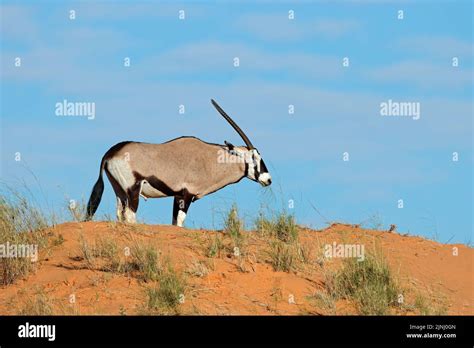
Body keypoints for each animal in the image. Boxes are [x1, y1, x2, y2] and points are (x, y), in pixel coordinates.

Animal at [84, 99, 270, 227]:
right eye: (253, 158)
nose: (268, 179)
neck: (210, 159)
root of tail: (110, 153)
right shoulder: (186, 195)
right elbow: (180, 222)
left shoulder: (177, 196)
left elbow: (174, 223)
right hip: (133, 189)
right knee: (130, 215)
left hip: (119, 190)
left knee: (120, 214)